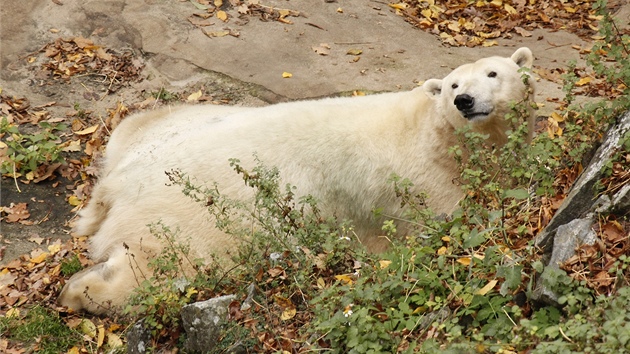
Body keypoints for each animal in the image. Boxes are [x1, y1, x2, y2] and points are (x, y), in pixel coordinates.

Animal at [59, 46, 536, 312]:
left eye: (493, 73)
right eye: (454, 82)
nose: (464, 99)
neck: (428, 130)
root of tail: (117, 182)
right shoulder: (425, 187)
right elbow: (452, 222)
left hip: (164, 123)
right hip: (192, 218)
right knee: (163, 264)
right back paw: (82, 291)